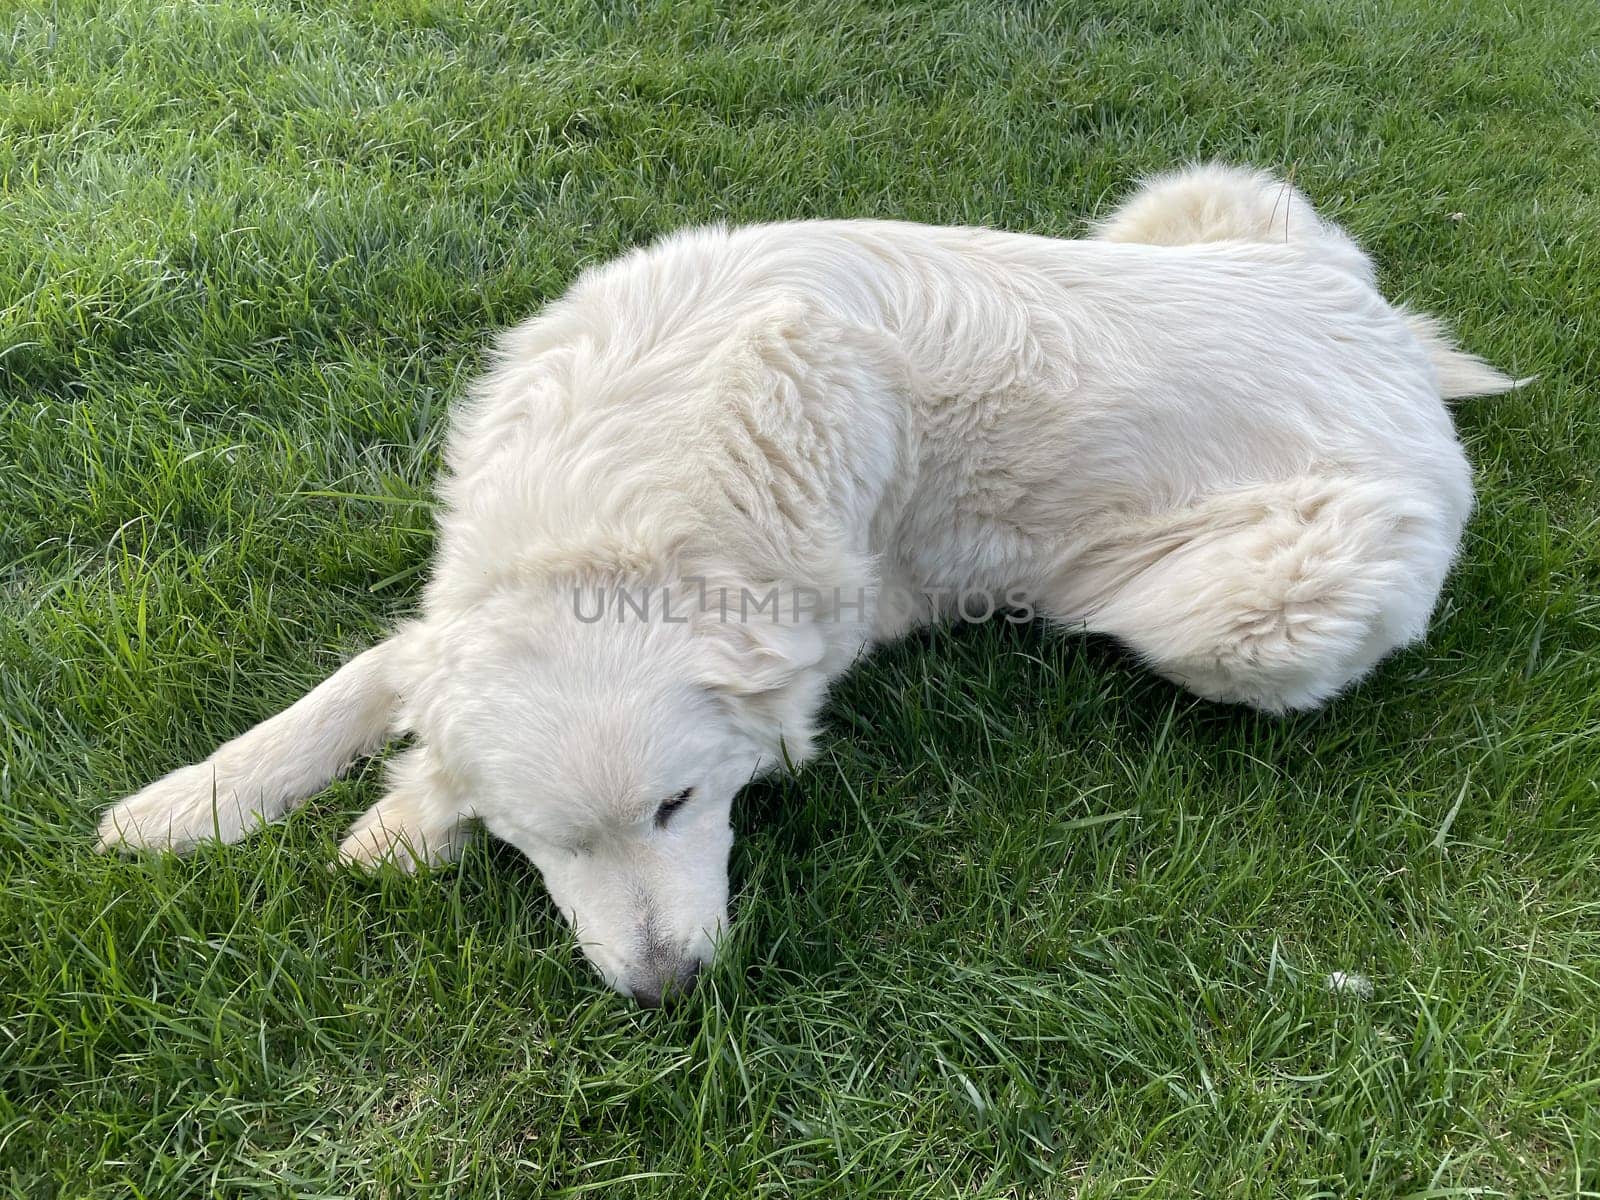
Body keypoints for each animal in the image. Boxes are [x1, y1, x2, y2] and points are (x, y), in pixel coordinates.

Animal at [100, 167, 1510, 1004]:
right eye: (549, 844)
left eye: (678, 806)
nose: (666, 988)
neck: (611, 519)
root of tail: (1392, 347)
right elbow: (361, 676)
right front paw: (194, 806)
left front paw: (393, 825)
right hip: (1197, 200)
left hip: (1251, 613)